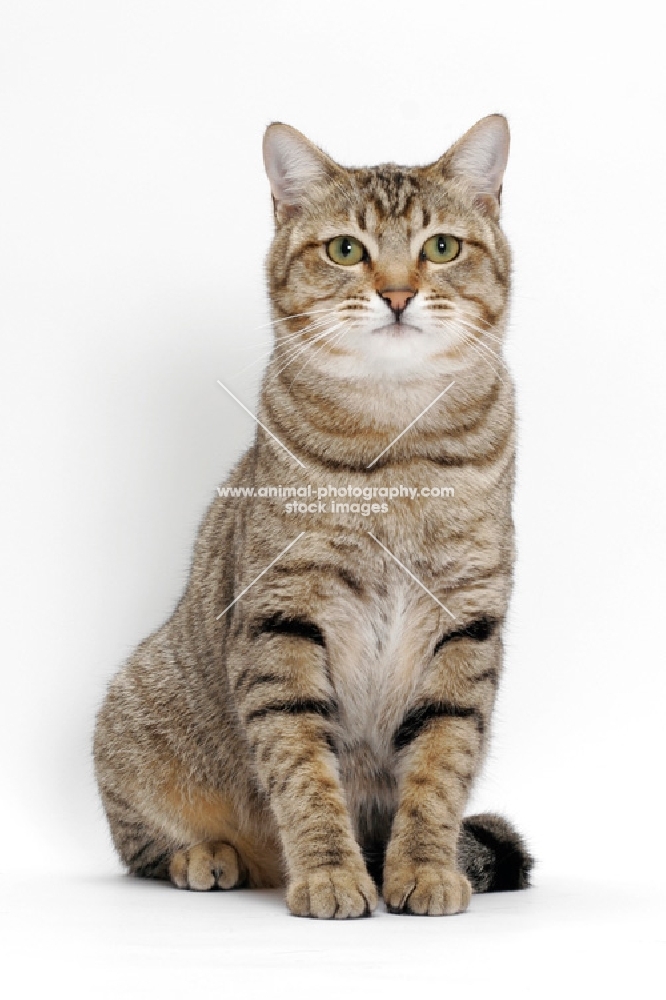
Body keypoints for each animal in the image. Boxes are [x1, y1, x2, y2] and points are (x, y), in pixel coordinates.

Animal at [93, 113, 532, 916]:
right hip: (134, 711)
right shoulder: (283, 618)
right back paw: (211, 855)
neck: (398, 444)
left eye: (442, 247)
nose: (397, 293)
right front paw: (330, 873)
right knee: (143, 847)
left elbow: (440, 767)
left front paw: (425, 868)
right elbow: (300, 768)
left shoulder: (464, 624)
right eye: (346, 250)